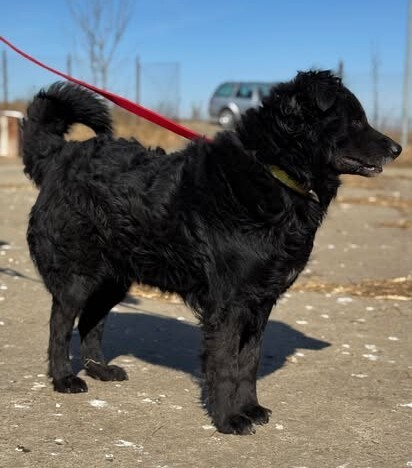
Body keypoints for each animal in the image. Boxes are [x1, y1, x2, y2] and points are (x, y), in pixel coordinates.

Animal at [22, 70, 401, 435]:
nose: (397, 148)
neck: (272, 172)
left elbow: (248, 363)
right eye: (356, 120)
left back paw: (99, 369)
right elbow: (224, 364)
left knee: (91, 321)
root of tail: (60, 156)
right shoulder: (228, 306)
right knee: (60, 325)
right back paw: (64, 378)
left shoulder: (260, 303)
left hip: (114, 279)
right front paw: (228, 419)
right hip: (78, 277)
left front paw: (250, 408)